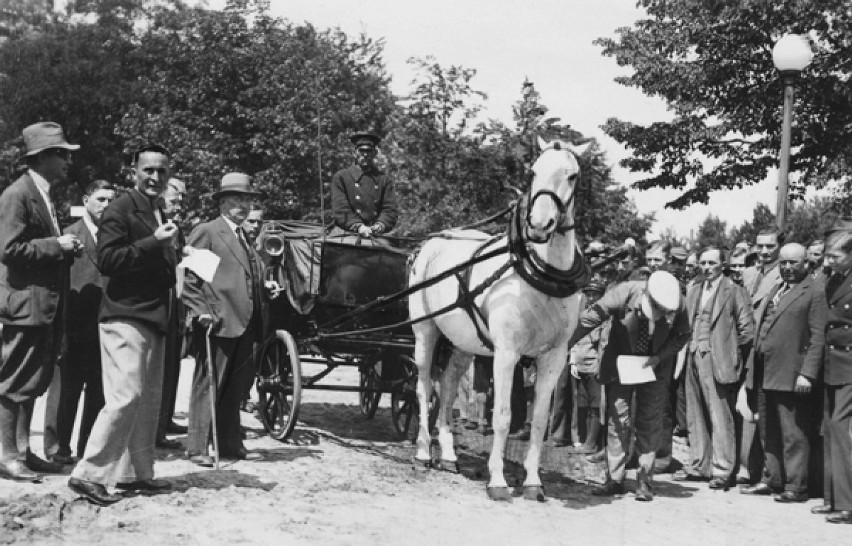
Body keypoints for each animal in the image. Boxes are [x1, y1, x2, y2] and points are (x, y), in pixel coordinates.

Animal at [410, 137, 588, 502]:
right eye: (533, 170)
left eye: (572, 175)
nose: (539, 225)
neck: (543, 276)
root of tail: (429, 244)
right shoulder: (507, 353)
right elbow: (503, 417)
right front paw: (498, 481)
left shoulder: (554, 358)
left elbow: (538, 421)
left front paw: (533, 482)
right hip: (425, 332)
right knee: (423, 388)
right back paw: (422, 452)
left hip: (463, 344)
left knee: (447, 387)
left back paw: (448, 454)